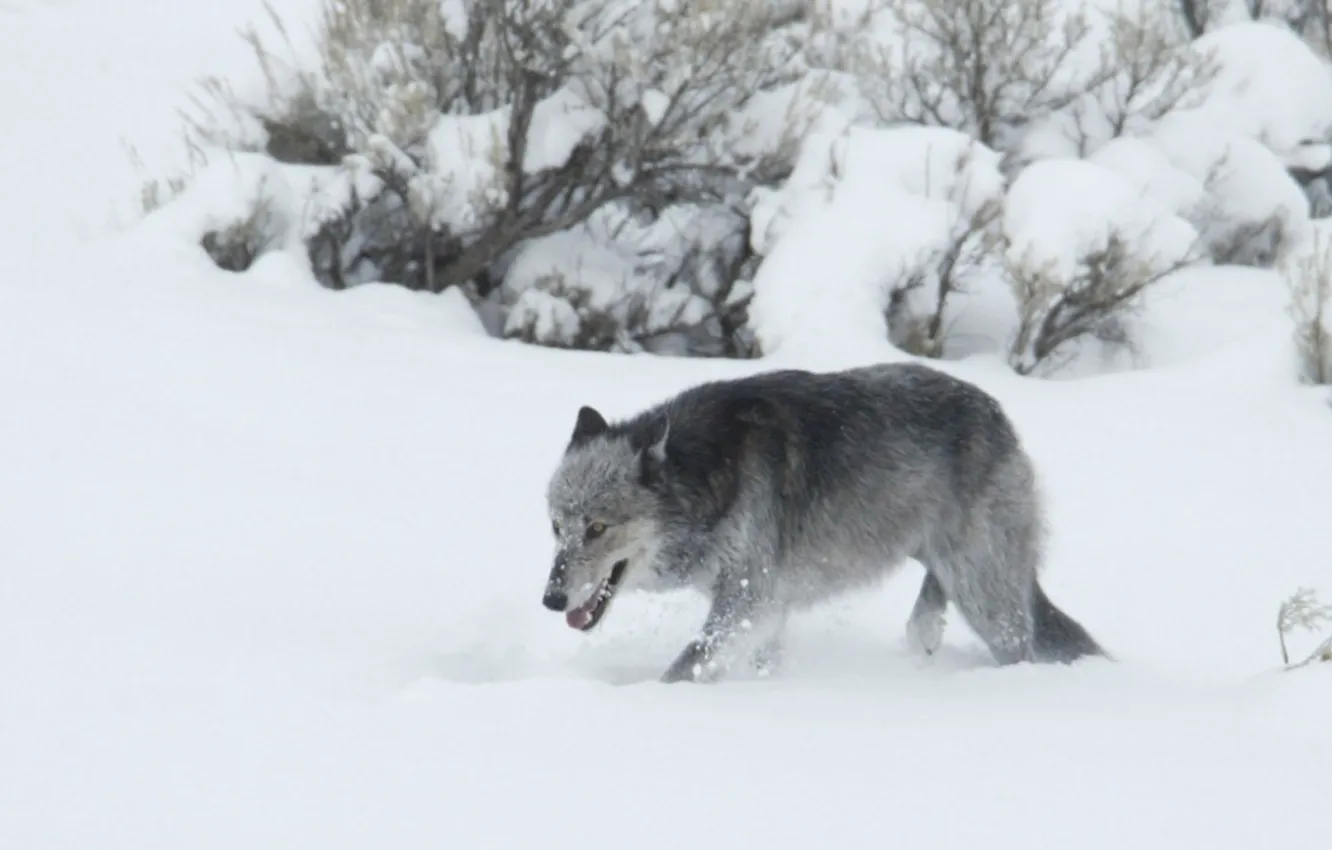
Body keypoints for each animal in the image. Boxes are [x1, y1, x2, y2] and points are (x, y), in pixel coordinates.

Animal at [540, 362, 1104, 684]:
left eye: (597, 528)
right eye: (556, 527)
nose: (551, 599)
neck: (706, 476)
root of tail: (999, 416)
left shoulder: (750, 601)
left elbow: (682, 669)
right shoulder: (760, 612)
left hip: (986, 596)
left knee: (1019, 645)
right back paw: (923, 635)